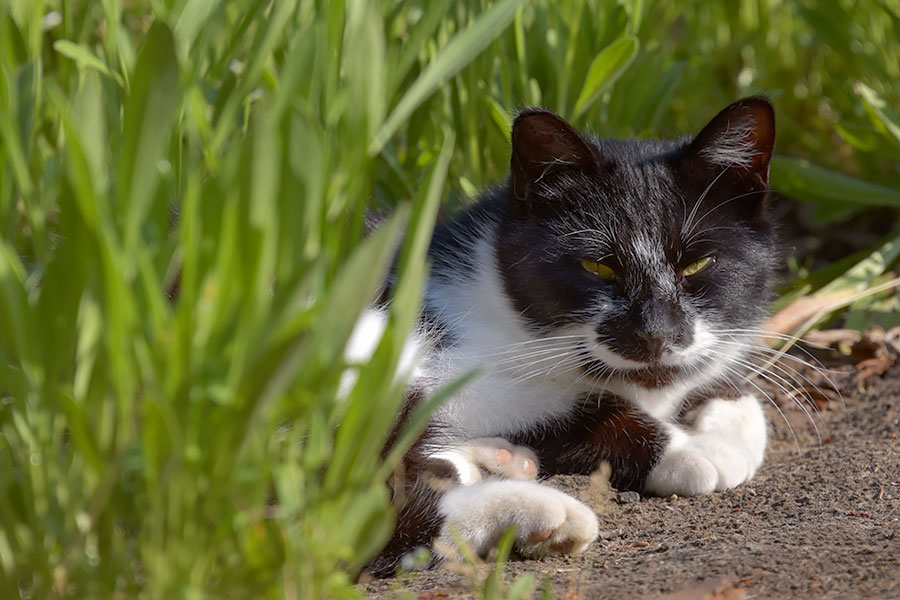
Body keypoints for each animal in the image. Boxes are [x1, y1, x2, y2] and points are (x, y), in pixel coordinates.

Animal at [358, 96, 780, 576]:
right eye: (597, 268)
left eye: (697, 265)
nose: (657, 334)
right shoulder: (443, 361)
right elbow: (577, 405)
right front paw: (688, 447)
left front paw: (729, 408)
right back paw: (533, 513)